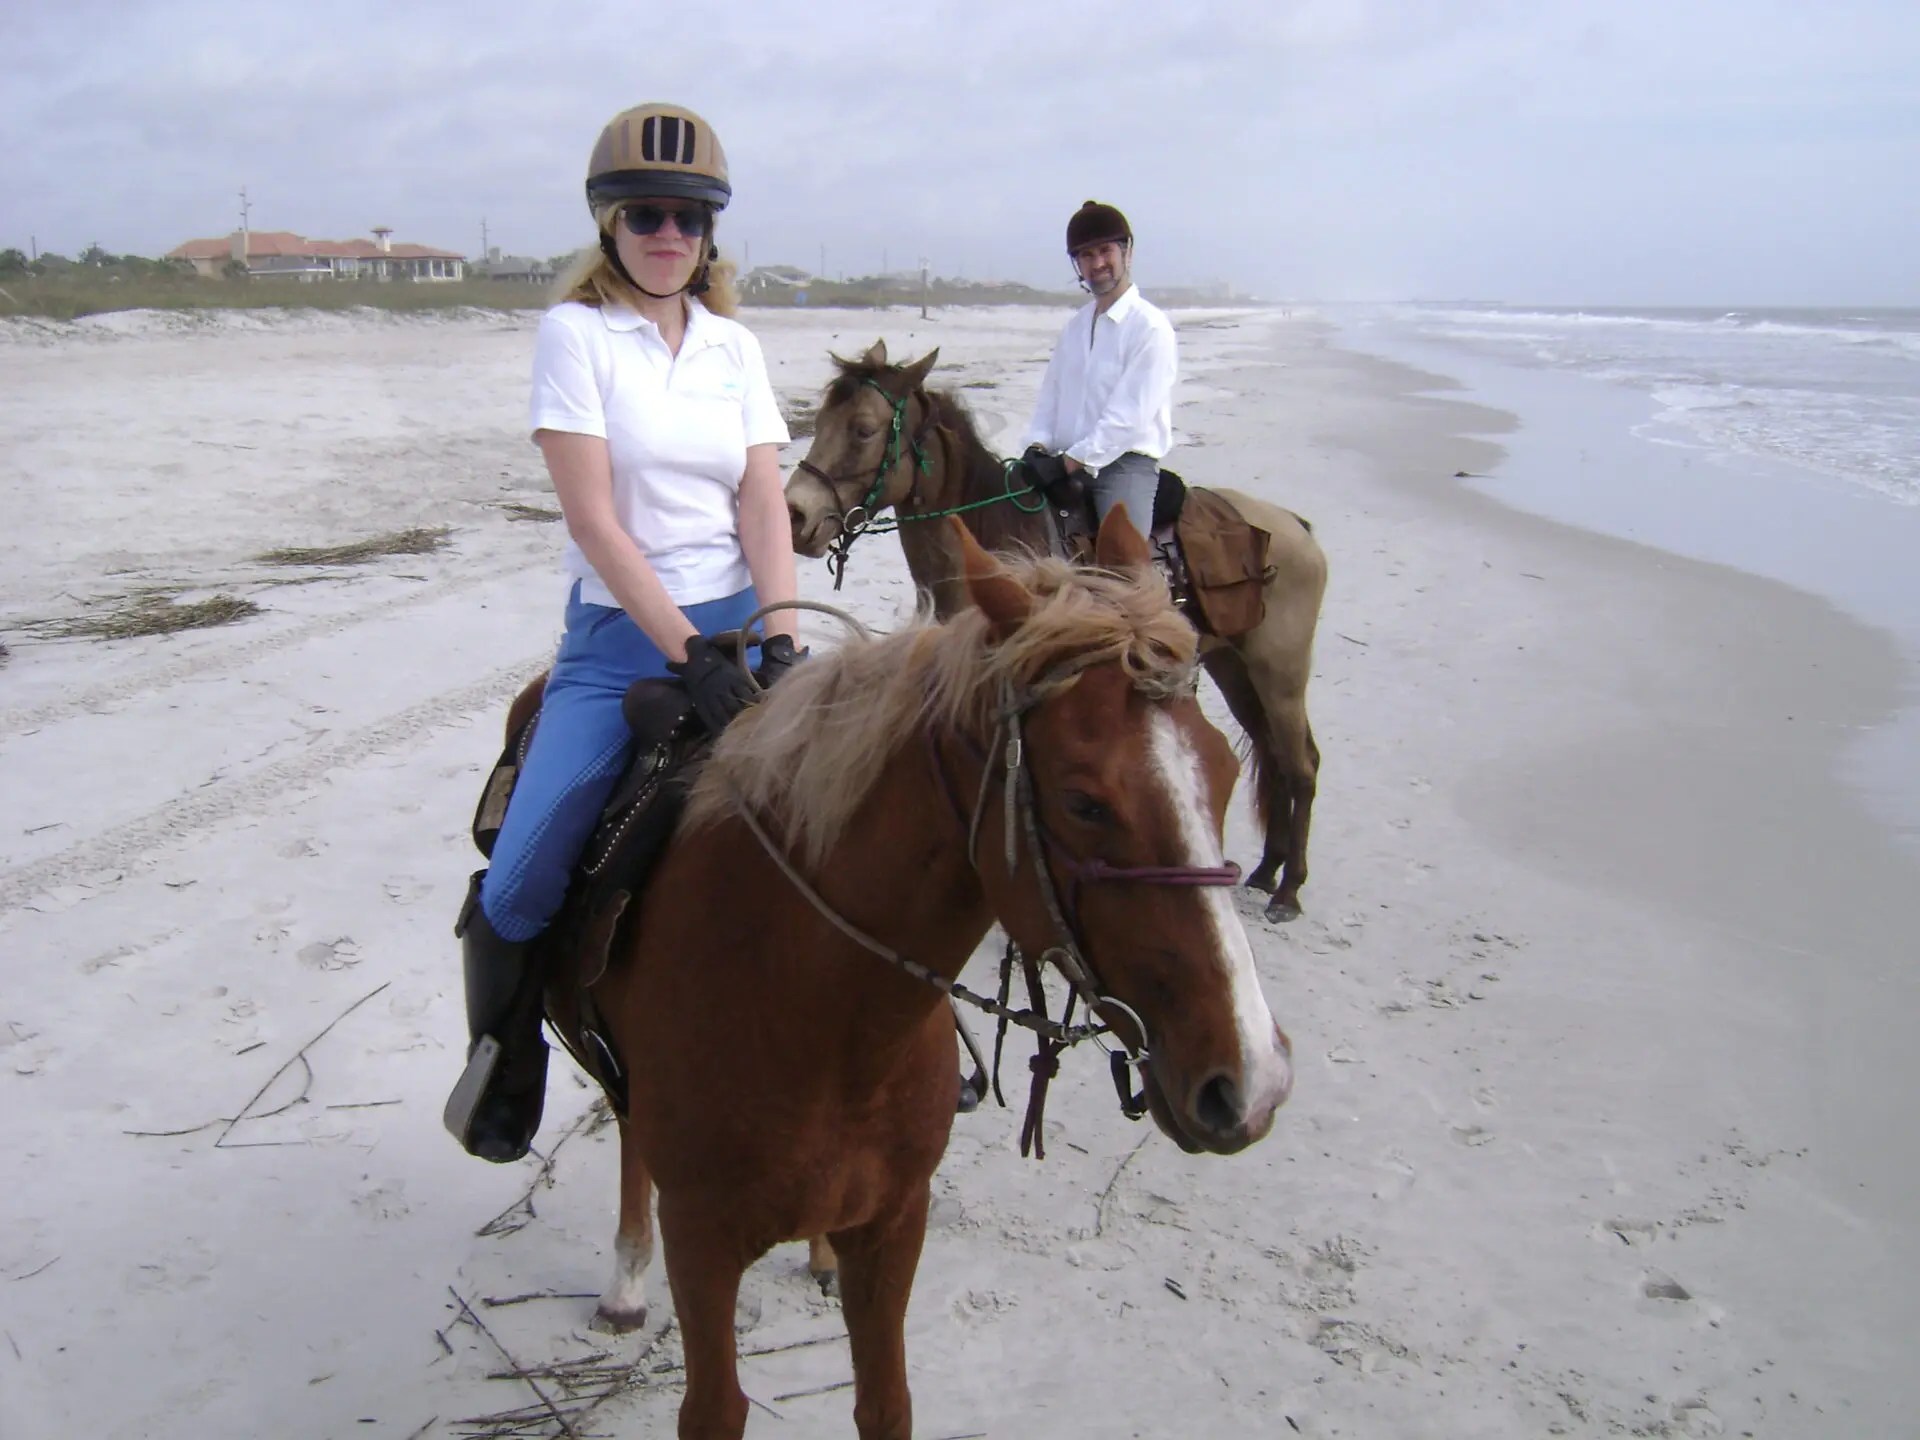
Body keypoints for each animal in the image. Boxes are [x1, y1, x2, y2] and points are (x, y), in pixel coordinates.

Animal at [518, 513, 1292, 1439]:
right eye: (1084, 802)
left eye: (1224, 771)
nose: (1252, 1082)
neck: (820, 1016)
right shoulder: (702, 1242)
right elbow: (715, 1409)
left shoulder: (895, 1224)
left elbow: (886, 1405)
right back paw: (627, 1280)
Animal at [784, 341, 1329, 920]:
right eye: (820, 420)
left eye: (863, 429)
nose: (796, 516)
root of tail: (1294, 526)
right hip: (1235, 666)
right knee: (1273, 753)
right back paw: (1267, 870)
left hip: (1280, 672)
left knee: (1301, 765)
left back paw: (1288, 890)